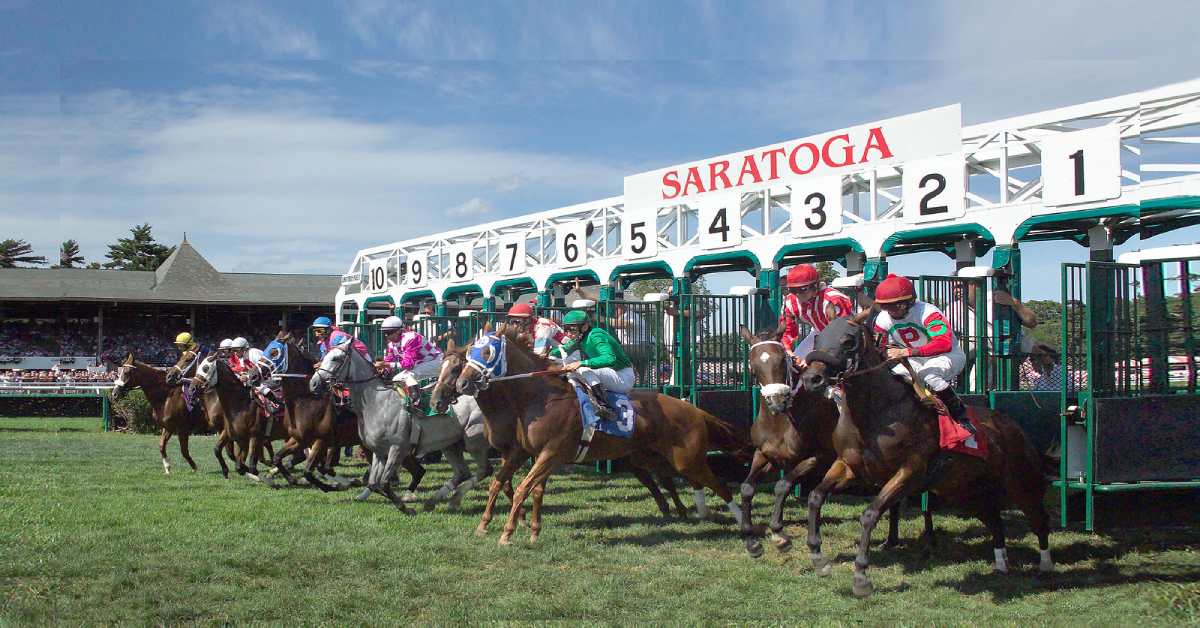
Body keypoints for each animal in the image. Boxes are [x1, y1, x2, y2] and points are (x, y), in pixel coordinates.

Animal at [309, 338, 496, 511]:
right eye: (324, 356)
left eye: (336, 358)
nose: (313, 383)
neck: (377, 403)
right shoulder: (379, 451)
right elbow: (373, 483)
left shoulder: (397, 448)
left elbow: (383, 482)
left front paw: (404, 507)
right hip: (450, 444)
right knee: (462, 473)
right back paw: (434, 501)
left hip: (473, 441)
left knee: (485, 470)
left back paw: (451, 500)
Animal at [451, 326, 748, 547]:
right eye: (469, 353)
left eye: (486, 351)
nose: (462, 383)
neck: (540, 398)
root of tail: (693, 409)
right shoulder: (524, 452)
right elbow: (506, 485)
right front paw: (515, 529)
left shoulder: (551, 453)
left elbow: (523, 489)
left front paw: (507, 533)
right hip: (649, 457)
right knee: (675, 481)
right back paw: (688, 513)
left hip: (688, 460)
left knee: (720, 485)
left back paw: (743, 524)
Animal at [734, 324, 912, 559]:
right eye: (753, 367)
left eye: (782, 361)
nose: (778, 402)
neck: (782, 423)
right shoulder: (764, 455)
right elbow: (747, 487)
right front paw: (751, 539)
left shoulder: (820, 458)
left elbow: (782, 485)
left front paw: (779, 534)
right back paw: (891, 540)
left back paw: (894, 539)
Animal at [801, 312, 1056, 597]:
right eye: (818, 338)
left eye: (847, 341)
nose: (812, 379)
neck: (878, 411)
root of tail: (1013, 426)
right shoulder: (849, 465)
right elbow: (815, 497)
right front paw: (818, 558)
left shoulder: (910, 472)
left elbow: (869, 515)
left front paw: (861, 576)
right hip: (966, 492)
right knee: (994, 520)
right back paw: (1001, 566)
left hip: (1020, 484)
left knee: (1039, 519)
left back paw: (1045, 566)